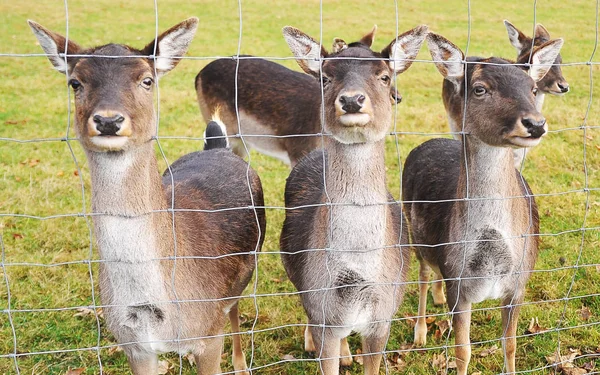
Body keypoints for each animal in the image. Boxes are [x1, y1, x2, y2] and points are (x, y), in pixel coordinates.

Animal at [28, 16, 266, 374]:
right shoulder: (132, 344)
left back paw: (241, 364)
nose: (108, 120)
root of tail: (217, 145)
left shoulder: (208, 335)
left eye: (147, 80)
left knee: (234, 310)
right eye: (75, 82)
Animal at [404, 32, 564, 375]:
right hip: (415, 234)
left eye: (532, 88)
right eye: (480, 89)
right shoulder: (459, 284)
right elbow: (462, 351)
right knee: (422, 275)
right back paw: (421, 332)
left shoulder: (519, 282)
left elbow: (510, 344)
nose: (536, 124)